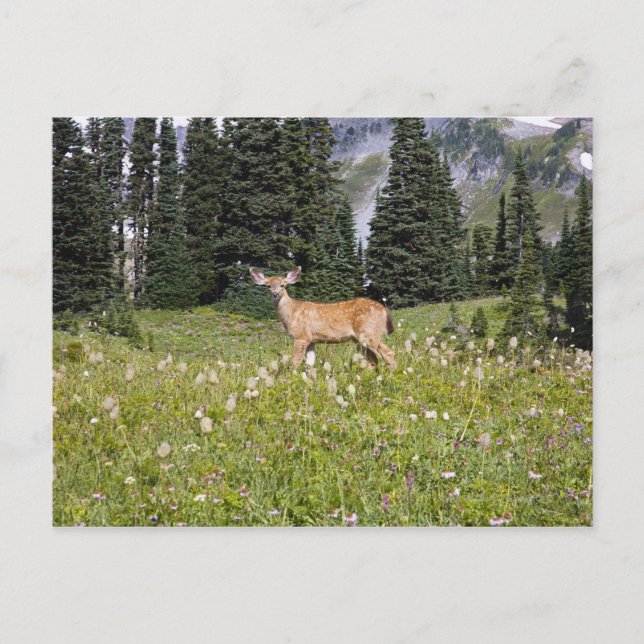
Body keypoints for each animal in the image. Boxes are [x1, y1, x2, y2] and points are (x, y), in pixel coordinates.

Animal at [249, 266, 397, 369]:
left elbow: (295, 361)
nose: (275, 294)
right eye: (268, 286)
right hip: (359, 339)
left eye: (283, 285)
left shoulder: (301, 336)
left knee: (389, 353)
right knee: (374, 359)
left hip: (368, 331)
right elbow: (310, 363)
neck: (292, 312)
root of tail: (384, 310)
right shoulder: (311, 340)